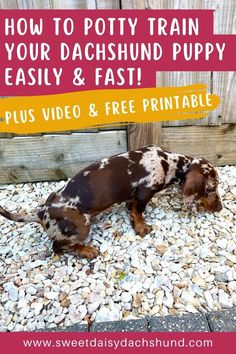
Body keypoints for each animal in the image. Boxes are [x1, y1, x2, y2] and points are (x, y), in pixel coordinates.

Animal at [0, 145, 222, 260]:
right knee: (58, 247)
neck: (168, 163)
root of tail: (42, 211)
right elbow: (139, 212)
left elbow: (132, 207)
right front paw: (141, 227)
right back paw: (87, 250)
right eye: (211, 189)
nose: (220, 208)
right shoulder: (145, 191)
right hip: (81, 228)